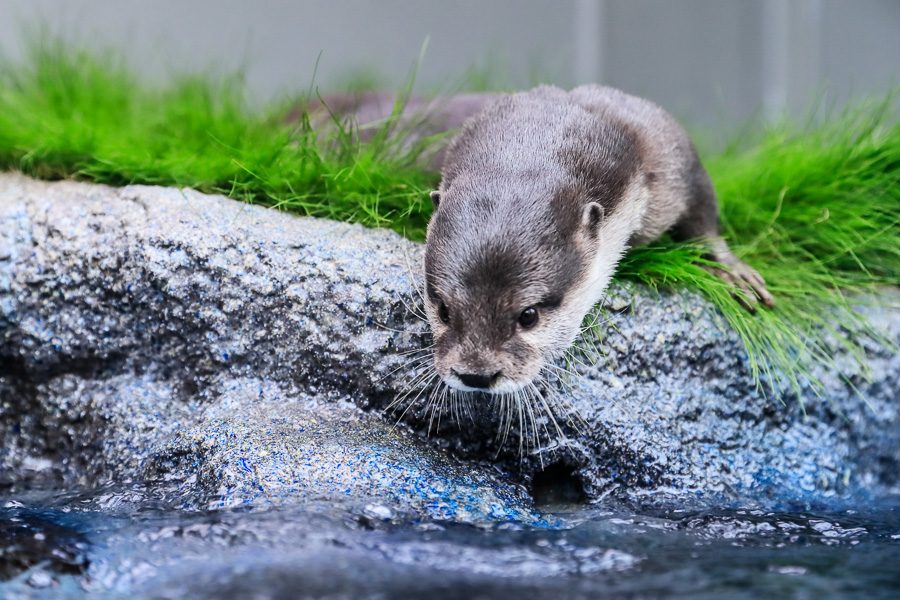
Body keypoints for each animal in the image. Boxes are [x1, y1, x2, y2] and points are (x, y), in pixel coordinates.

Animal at [424, 84, 772, 394]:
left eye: (529, 316)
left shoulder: (670, 154)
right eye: (443, 310)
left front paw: (730, 270)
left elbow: (703, 209)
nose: (476, 375)